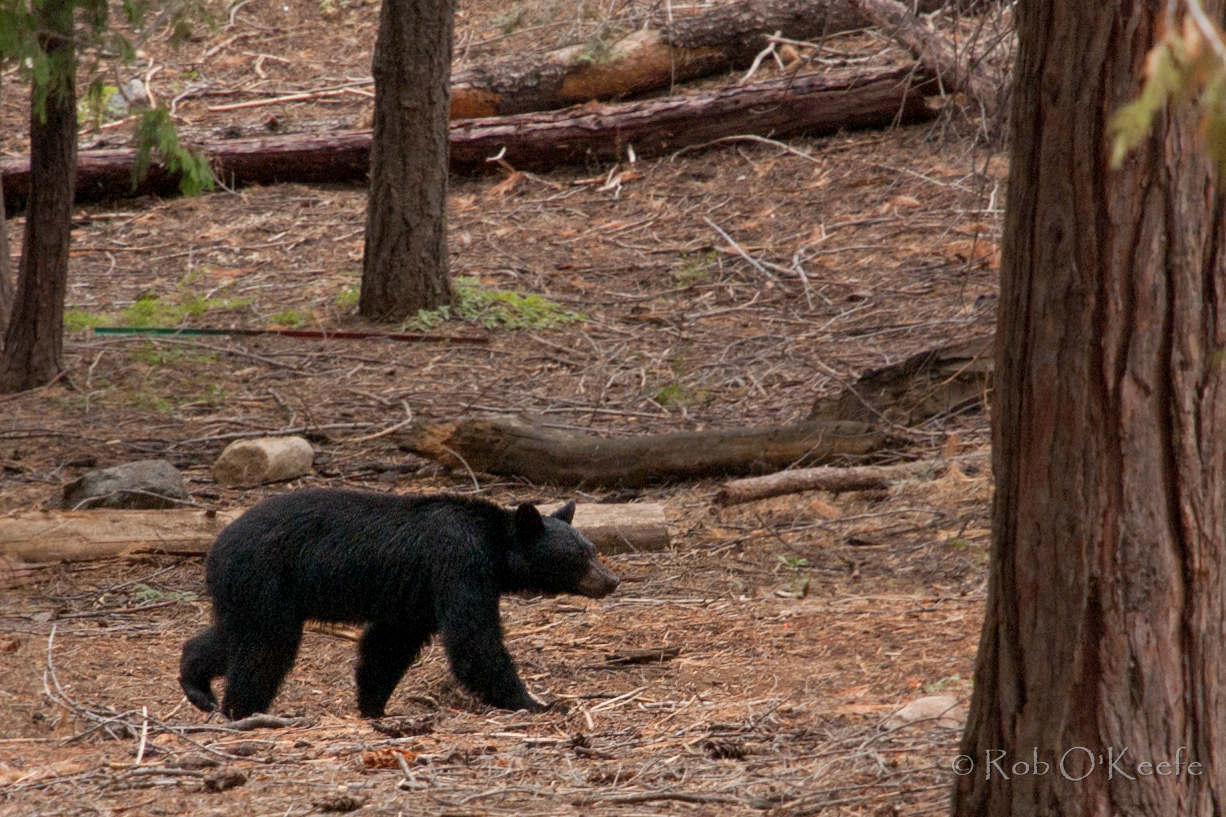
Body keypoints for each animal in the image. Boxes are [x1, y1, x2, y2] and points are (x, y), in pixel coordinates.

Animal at [177, 485, 617, 716]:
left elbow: (389, 645)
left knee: (231, 635)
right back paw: (243, 708)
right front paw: (535, 702)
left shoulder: (416, 595)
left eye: (592, 548)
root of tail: (216, 547)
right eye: (580, 556)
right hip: (267, 577)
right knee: (265, 645)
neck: (494, 547)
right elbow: (473, 640)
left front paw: (373, 706)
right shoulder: (457, 566)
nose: (611, 580)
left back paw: (198, 686)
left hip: (248, 590)